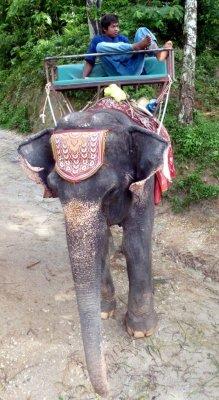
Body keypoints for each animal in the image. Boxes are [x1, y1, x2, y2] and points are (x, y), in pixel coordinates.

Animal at [17, 108, 168, 398]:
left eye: (110, 190)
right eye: (54, 190)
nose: (108, 389)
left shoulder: (143, 188)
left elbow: (137, 241)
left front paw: (141, 332)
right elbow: (101, 241)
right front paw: (104, 312)